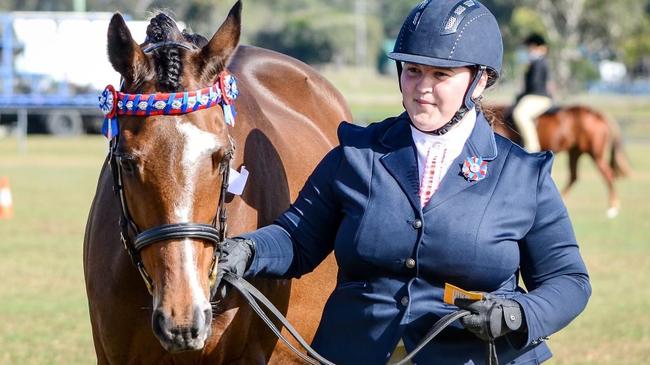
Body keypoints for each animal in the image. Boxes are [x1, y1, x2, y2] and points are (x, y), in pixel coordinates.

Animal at [486, 102, 628, 218]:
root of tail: (599, 115)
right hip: (575, 152)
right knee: (574, 176)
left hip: (595, 154)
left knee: (608, 175)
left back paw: (612, 209)